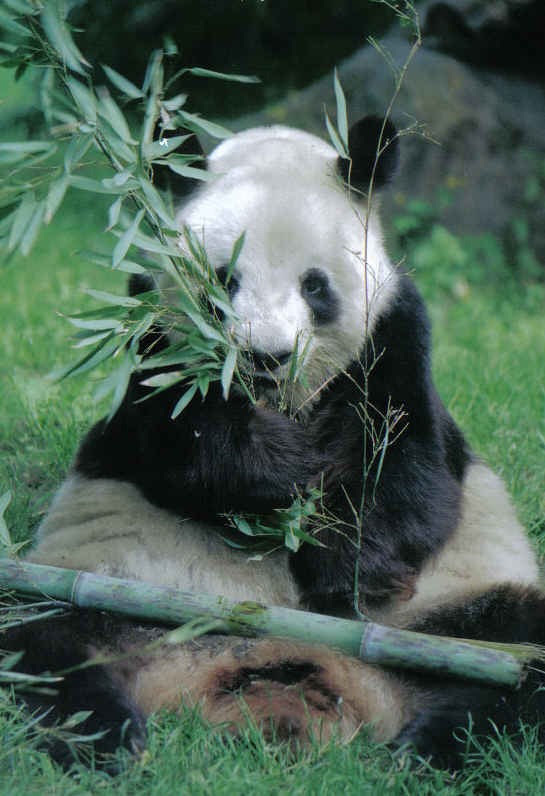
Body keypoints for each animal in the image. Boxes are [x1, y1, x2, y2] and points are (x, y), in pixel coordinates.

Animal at [6, 116, 544, 772]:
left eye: (315, 286)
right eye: (224, 280)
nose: (266, 356)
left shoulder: (396, 336)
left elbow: (410, 470)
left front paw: (345, 567)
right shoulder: (151, 339)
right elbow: (182, 445)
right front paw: (283, 469)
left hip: (454, 608)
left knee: (518, 656)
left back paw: (433, 745)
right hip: (106, 588)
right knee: (46, 640)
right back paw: (105, 736)